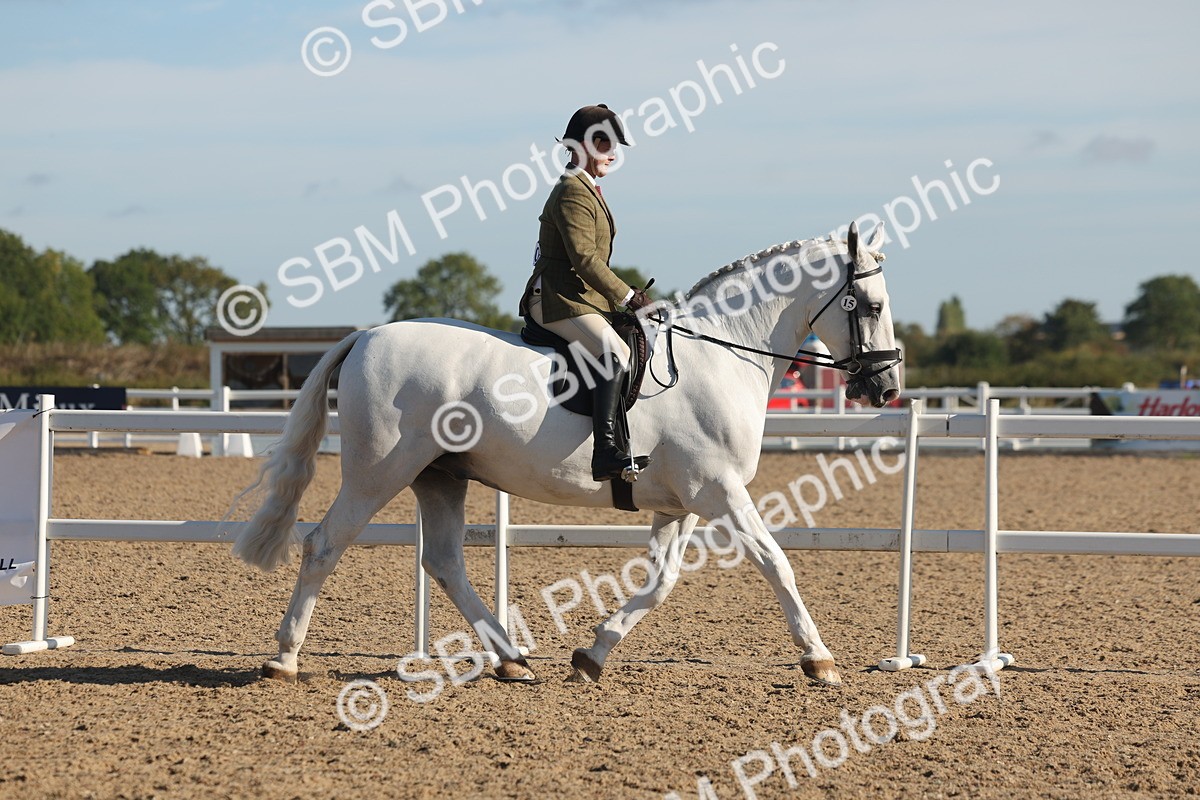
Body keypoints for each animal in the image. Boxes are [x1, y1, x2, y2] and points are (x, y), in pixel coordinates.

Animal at [231, 221, 901, 687]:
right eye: (870, 306)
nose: (888, 387)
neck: (722, 354)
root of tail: (365, 335)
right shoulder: (721, 493)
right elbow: (776, 563)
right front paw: (820, 660)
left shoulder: (683, 503)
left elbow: (660, 582)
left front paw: (591, 655)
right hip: (379, 472)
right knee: (324, 545)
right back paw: (284, 660)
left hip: (440, 476)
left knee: (445, 562)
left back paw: (511, 660)